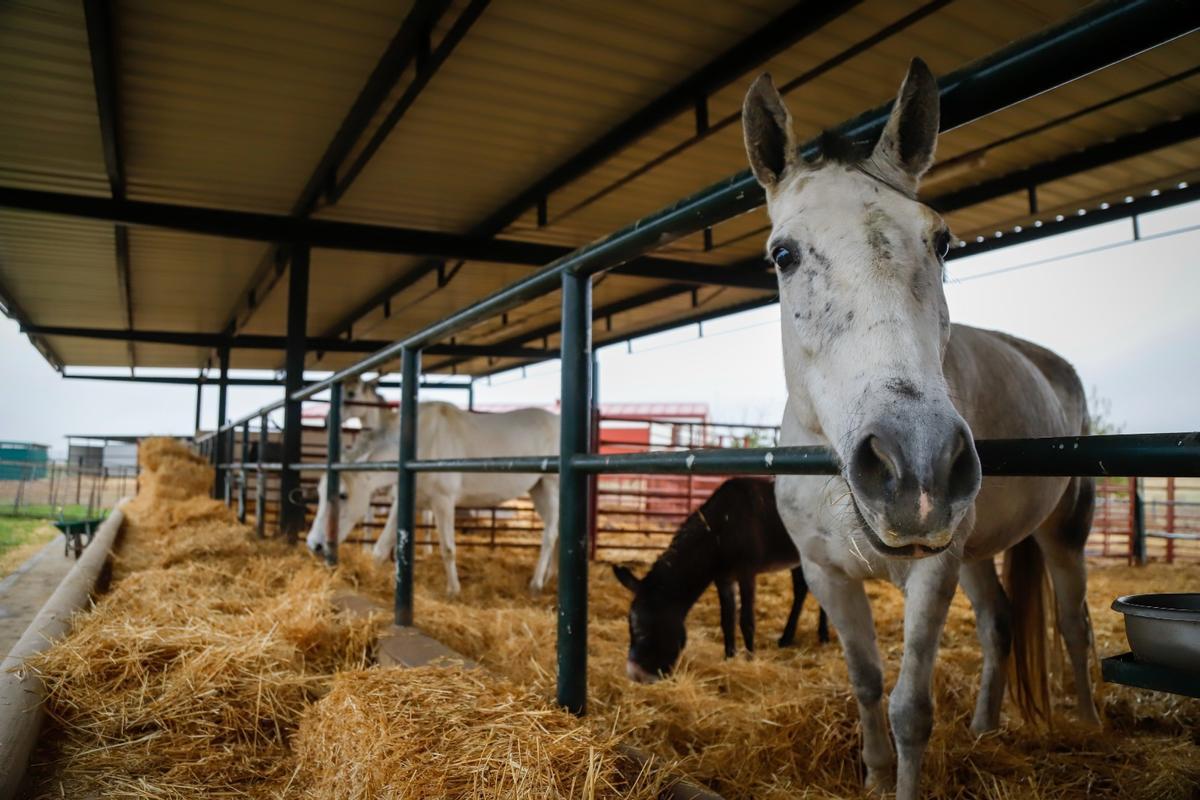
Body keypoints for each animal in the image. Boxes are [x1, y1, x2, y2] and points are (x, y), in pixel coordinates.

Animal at [306, 401, 560, 595]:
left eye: (342, 495)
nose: (314, 544)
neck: (421, 444)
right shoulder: (405, 502)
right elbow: (381, 547)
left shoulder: (443, 501)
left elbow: (447, 548)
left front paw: (453, 590)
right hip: (537, 490)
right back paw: (549, 577)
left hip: (551, 486)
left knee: (549, 535)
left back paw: (536, 584)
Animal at [613, 477, 830, 684]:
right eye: (630, 626)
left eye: (647, 628)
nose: (636, 675)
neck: (720, 530)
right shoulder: (723, 578)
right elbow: (727, 620)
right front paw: (729, 658)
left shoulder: (746, 573)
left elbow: (746, 621)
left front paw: (750, 661)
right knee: (803, 589)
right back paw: (790, 637)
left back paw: (823, 635)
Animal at [741, 59, 1098, 799]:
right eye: (783, 254)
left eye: (941, 240)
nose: (917, 467)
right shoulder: (826, 574)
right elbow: (866, 682)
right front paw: (876, 777)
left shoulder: (932, 573)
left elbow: (911, 708)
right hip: (978, 553)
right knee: (999, 624)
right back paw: (986, 727)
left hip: (1062, 533)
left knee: (1074, 625)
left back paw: (1086, 723)